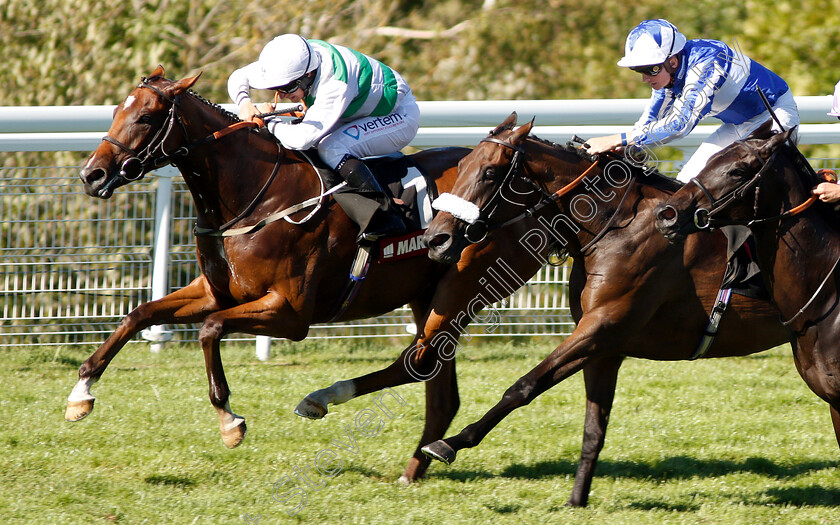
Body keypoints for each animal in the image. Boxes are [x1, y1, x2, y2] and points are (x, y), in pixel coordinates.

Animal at [70, 66, 544, 484]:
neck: (257, 194)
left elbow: (210, 329)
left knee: (423, 368)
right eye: (116, 111)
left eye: (146, 117)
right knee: (439, 392)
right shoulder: (217, 291)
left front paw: (229, 420)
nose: (92, 174)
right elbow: (140, 315)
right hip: (427, 295)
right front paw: (81, 393)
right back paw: (414, 468)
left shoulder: (290, 313)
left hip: (462, 289)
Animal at [420, 112, 796, 506]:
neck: (613, 227)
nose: (435, 239)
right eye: (462, 165)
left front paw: (449, 443)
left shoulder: (602, 327)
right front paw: (576, 500)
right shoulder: (604, 346)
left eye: (491, 172)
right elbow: (593, 427)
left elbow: (524, 386)